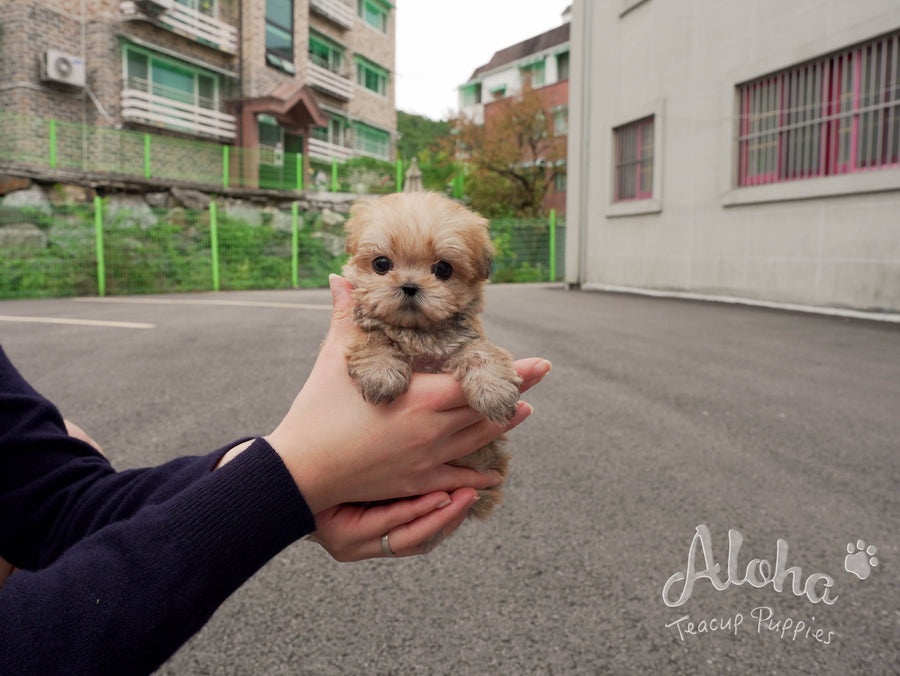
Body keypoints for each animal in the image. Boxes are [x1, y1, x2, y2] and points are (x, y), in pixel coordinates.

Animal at [341, 191, 522, 519]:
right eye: (381, 264)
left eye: (443, 269)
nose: (410, 286)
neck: (418, 332)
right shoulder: (364, 329)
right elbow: (375, 339)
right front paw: (381, 373)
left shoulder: (467, 339)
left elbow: (480, 352)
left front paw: (494, 390)